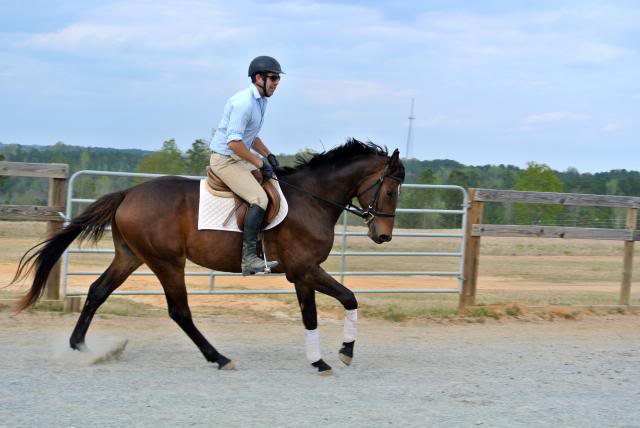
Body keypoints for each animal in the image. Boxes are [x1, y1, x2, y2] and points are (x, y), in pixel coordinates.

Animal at [11, 140, 404, 374]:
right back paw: (219, 357)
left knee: (97, 292)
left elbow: (316, 313)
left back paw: (81, 346)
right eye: (389, 190)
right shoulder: (305, 269)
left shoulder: (301, 273)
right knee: (179, 311)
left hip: (130, 256)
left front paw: (322, 359)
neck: (311, 199)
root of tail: (128, 194)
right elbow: (345, 300)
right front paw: (342, 352)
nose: (382, 235)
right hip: (167, 262)